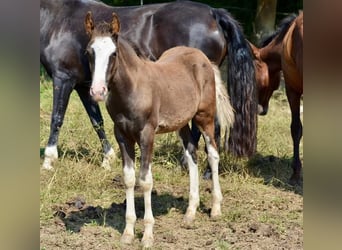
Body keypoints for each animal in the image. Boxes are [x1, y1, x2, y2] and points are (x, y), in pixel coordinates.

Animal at [40, 0, 256, 170]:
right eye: (89, 53)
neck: (58, 19)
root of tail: (213, 13)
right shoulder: (85, 87)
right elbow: (97, 121)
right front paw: (108, 159)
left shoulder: (63, 78)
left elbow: (56, 118)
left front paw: (49, 161)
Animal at [85, 12, 235, 248]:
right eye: (89, 52)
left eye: (113, 53)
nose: (98, 91)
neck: (132, 88)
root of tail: (203, 59)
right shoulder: (122, 135)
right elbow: (129, 178)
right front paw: (128, 233)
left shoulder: (147, 135)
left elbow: (145, 181)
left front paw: (147, 236)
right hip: (181, 123)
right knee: (191, 154)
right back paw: (190, 213)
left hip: (205, 117)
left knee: (212, 155)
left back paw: (216, 209)